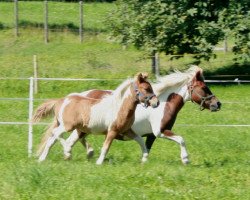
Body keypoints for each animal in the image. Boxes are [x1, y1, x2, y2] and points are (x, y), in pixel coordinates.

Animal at [60, 65, 221, 164]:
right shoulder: (160, 132)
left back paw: (84, 154)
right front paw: (186, 159)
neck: (163, 104)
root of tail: (81, 95)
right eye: (204, 88)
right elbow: (181, 139)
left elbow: (146, 149)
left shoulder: (151, 136)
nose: (218, 104)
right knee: (70, 141)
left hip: (84, 129)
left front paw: (143, 162)